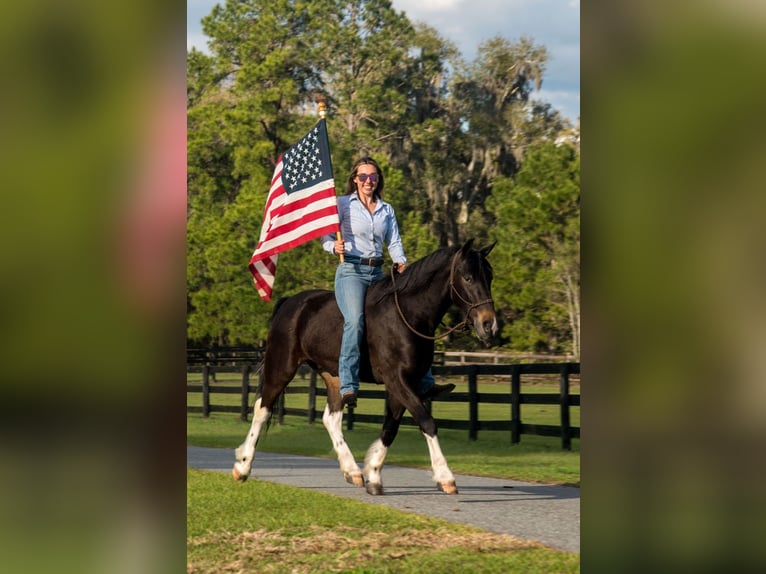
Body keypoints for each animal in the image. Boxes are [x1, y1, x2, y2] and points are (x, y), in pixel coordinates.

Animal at [234, 241, 498, 498]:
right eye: (467, 277)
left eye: (490, 277)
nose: (489, 325)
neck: (407, 316)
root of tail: (289, 303)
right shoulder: (397, 380)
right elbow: (427, 421)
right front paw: (445, 477)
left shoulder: (404, 383)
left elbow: (390, 428)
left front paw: (373, 475)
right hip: (281, 367)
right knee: (262, 409)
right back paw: (243, 466)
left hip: (334, 376)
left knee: (330, 418)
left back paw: (352, 471)